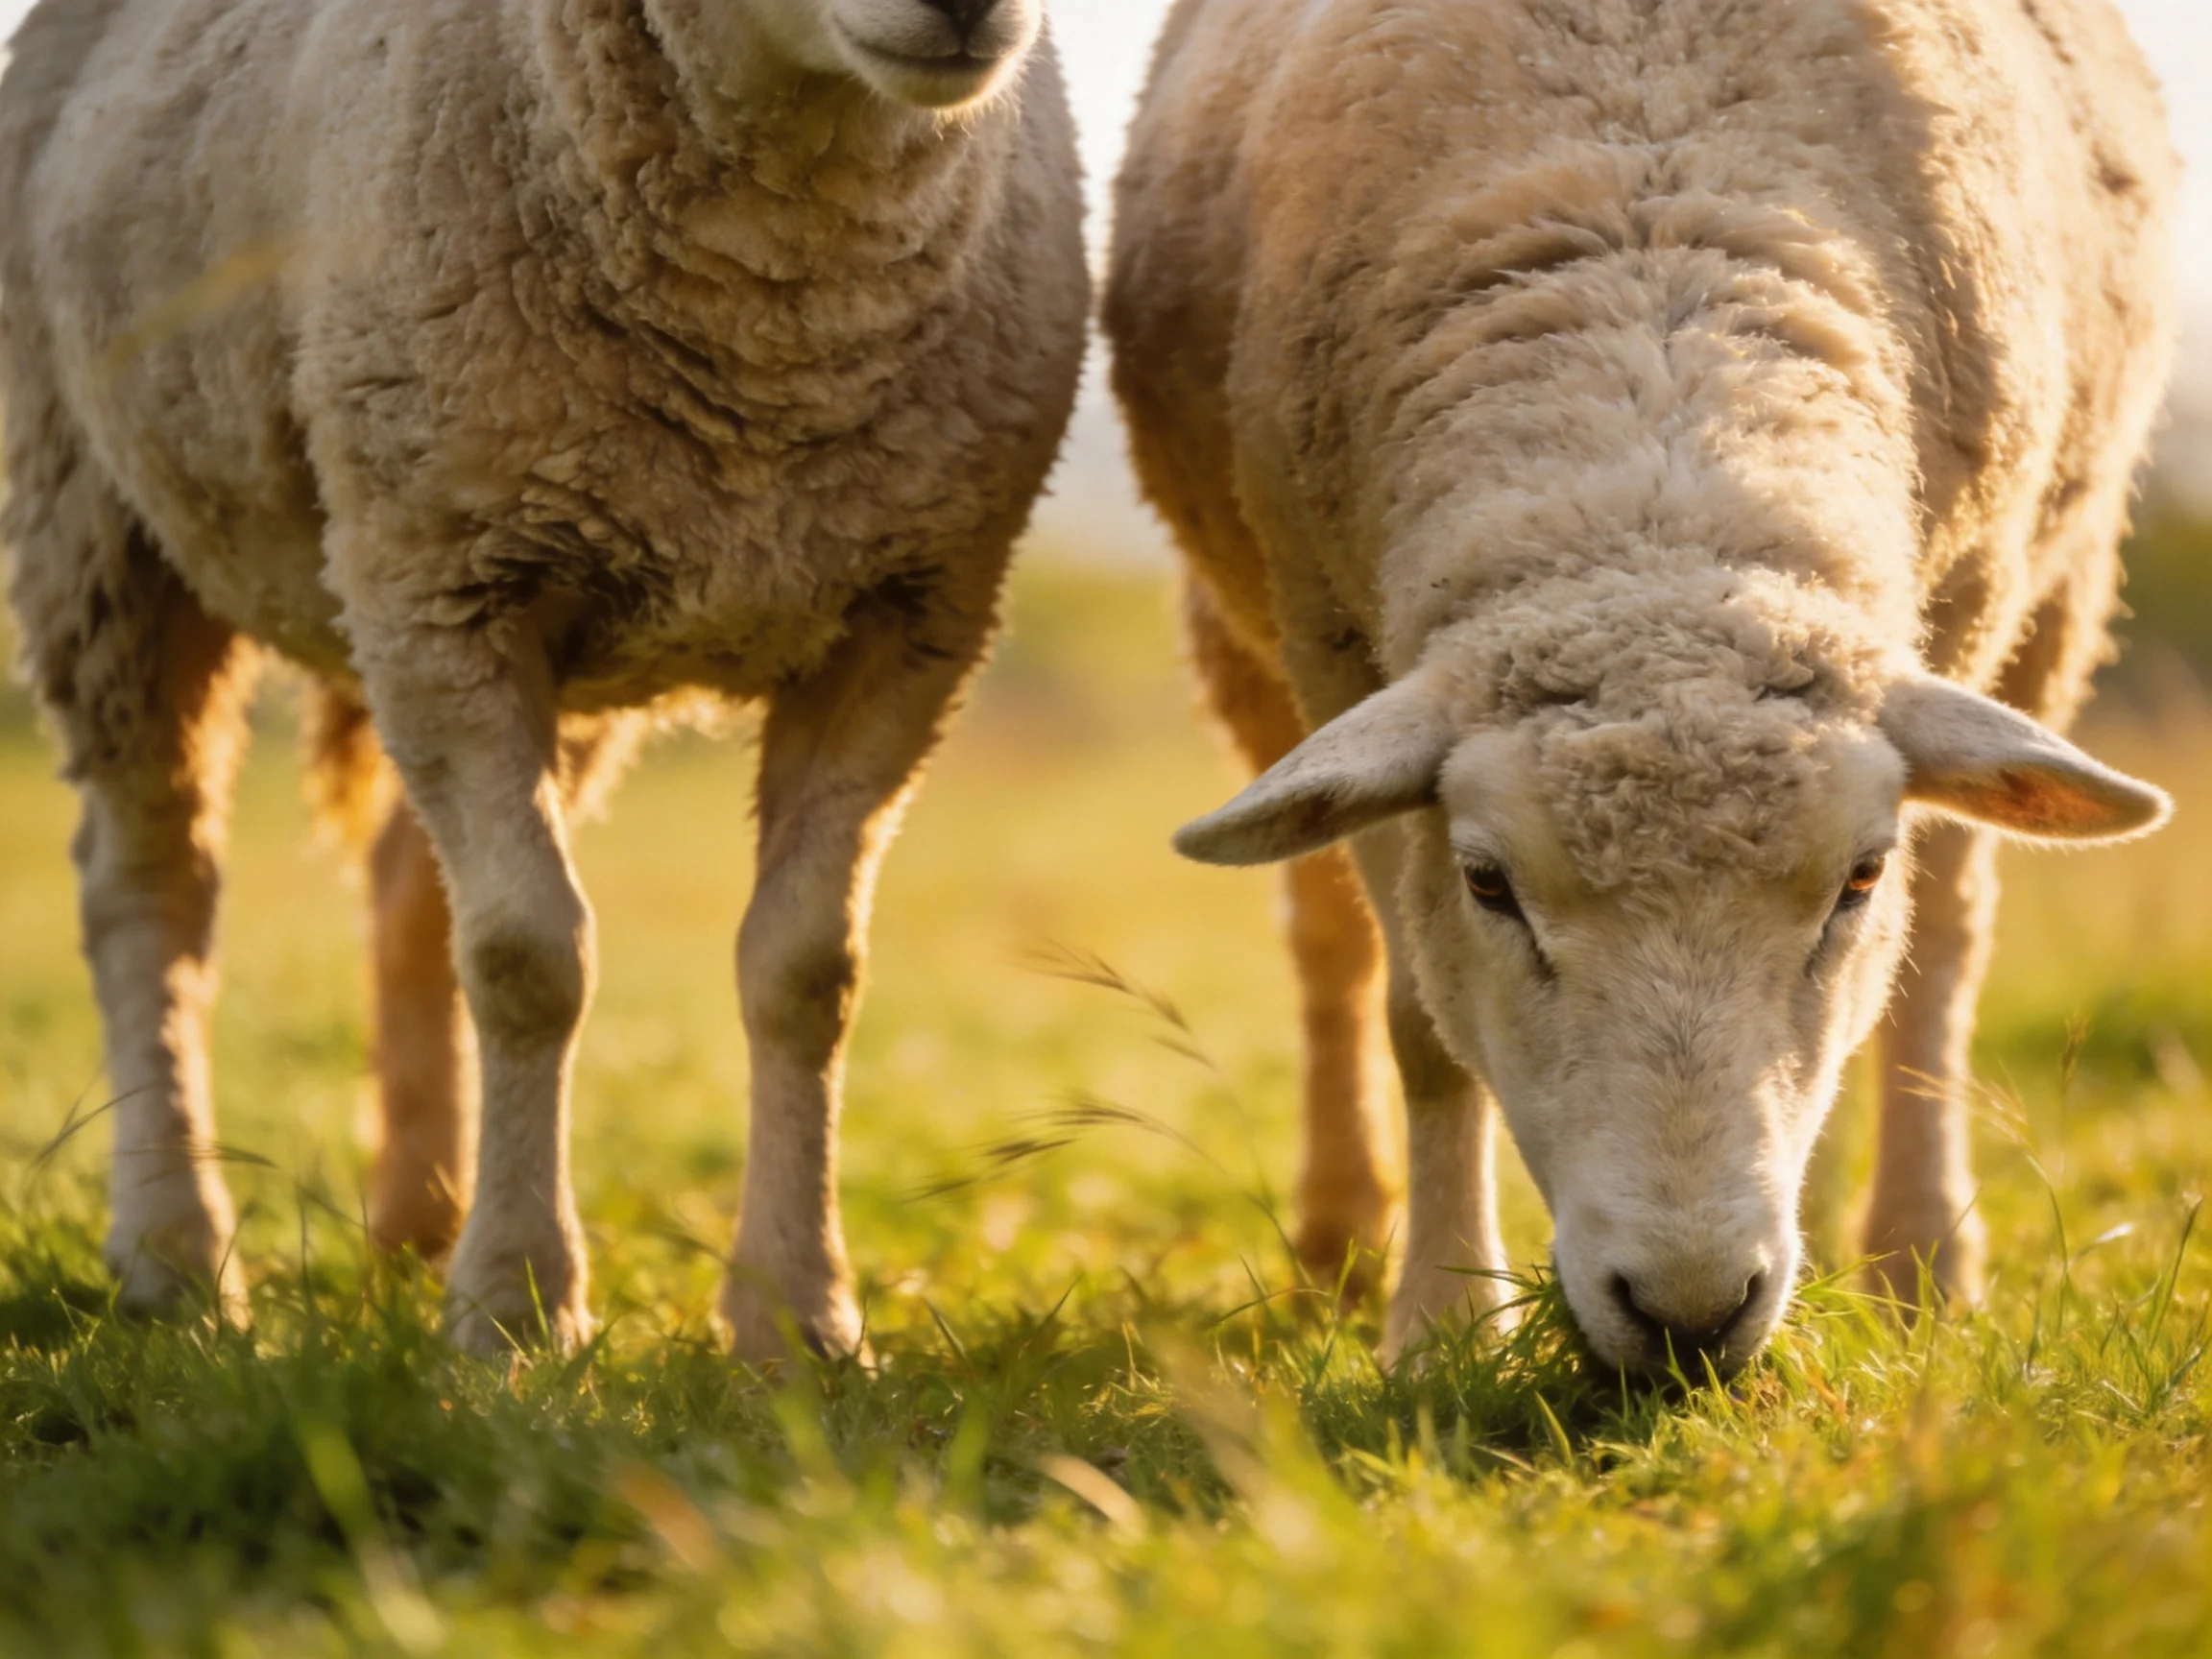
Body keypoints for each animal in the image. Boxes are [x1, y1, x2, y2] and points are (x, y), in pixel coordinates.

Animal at [0, 0, 1088, 1358]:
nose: (967, 8)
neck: (777, 333)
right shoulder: (443, 583)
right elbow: (529, 959)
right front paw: (516, 1305)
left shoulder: (911, 619)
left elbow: (808, 973)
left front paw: (799, 1315)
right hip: (103, 527)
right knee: (150, 894)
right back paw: (176, 1253)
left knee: (407, 888)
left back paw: (420, 1217)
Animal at [1107, 0, 2177, 1371]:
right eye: (1489, 884)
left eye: (1859, 876)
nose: (1690, 1313)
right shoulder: (1330, 635)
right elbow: (1423, 1022)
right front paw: (1440, 1324)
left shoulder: (1981, 600)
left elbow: (1926, 960)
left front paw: (1921, 1273)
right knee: (1324, 942)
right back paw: (1343, 1240)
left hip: (2060, 588)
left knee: (1946, 947)